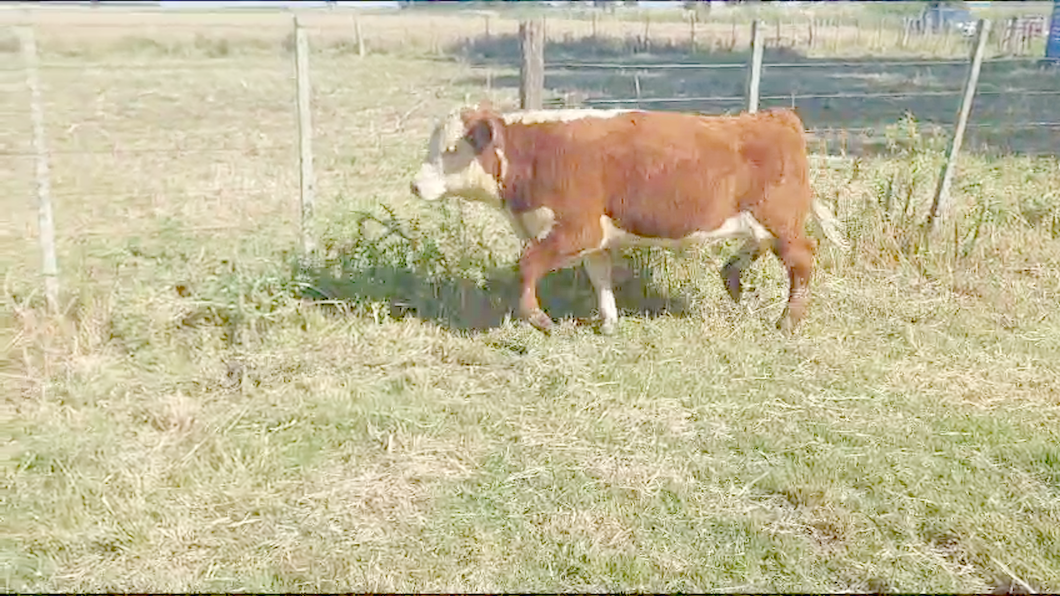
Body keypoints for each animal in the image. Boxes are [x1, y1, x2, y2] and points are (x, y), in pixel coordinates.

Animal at [407, 101, 843, 335]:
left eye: (451, 148)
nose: (415, 185)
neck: (533, 153)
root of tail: (774, 116)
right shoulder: (594, 238)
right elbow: (599, 277)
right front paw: (609, 323)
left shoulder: (575, 229)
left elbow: (528, 264)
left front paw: (539, 319)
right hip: (759, 221)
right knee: (750, 253)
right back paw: (735, 283)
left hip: (781, 221)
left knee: (802, 260)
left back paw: (788, 321)